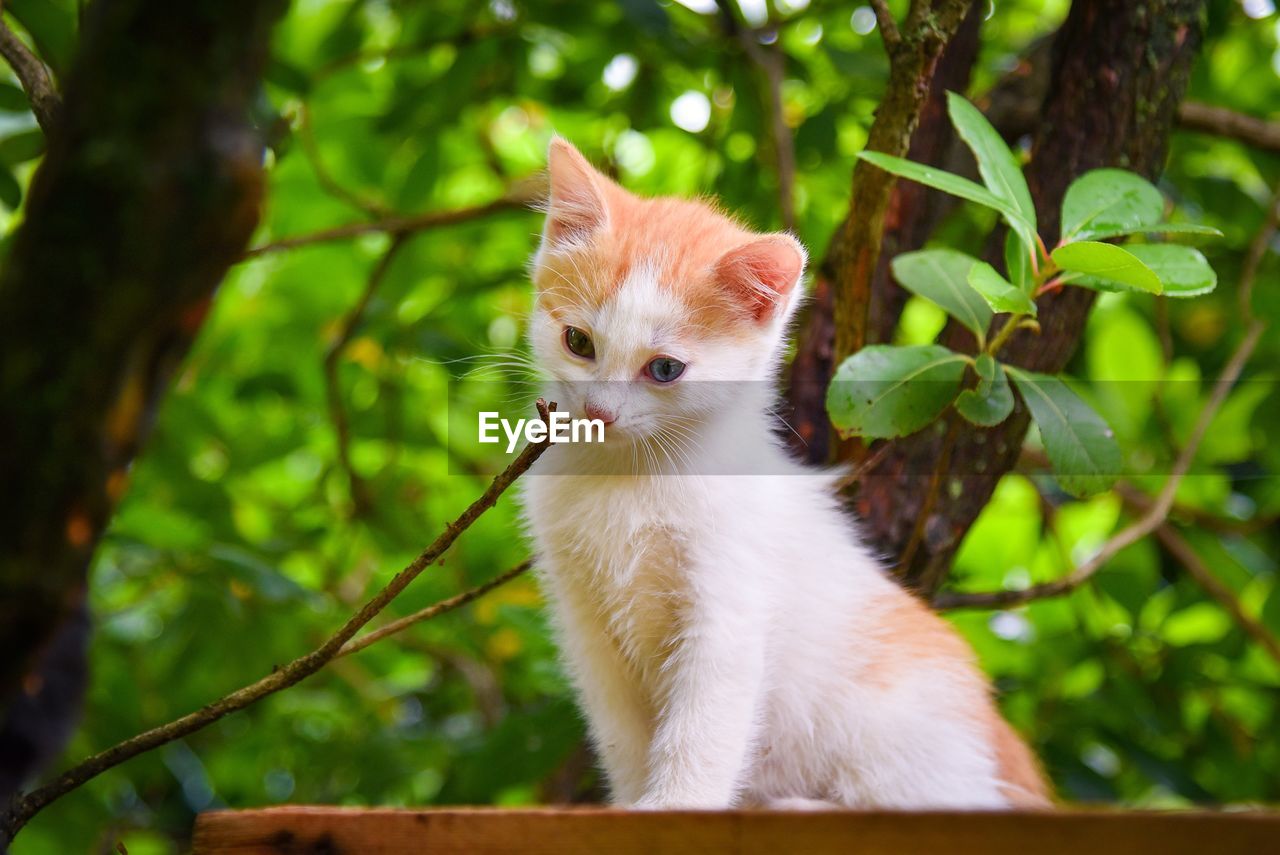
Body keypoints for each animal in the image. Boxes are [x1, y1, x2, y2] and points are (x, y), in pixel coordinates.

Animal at [519, 138, 1049, 808]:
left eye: (664, 369)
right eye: (579, 342)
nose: (598, 413)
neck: (630, 474)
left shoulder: (729, 609)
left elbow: (701, 734)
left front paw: (675, 807)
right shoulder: (585, 619)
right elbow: (623, 739)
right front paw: (634, 802)